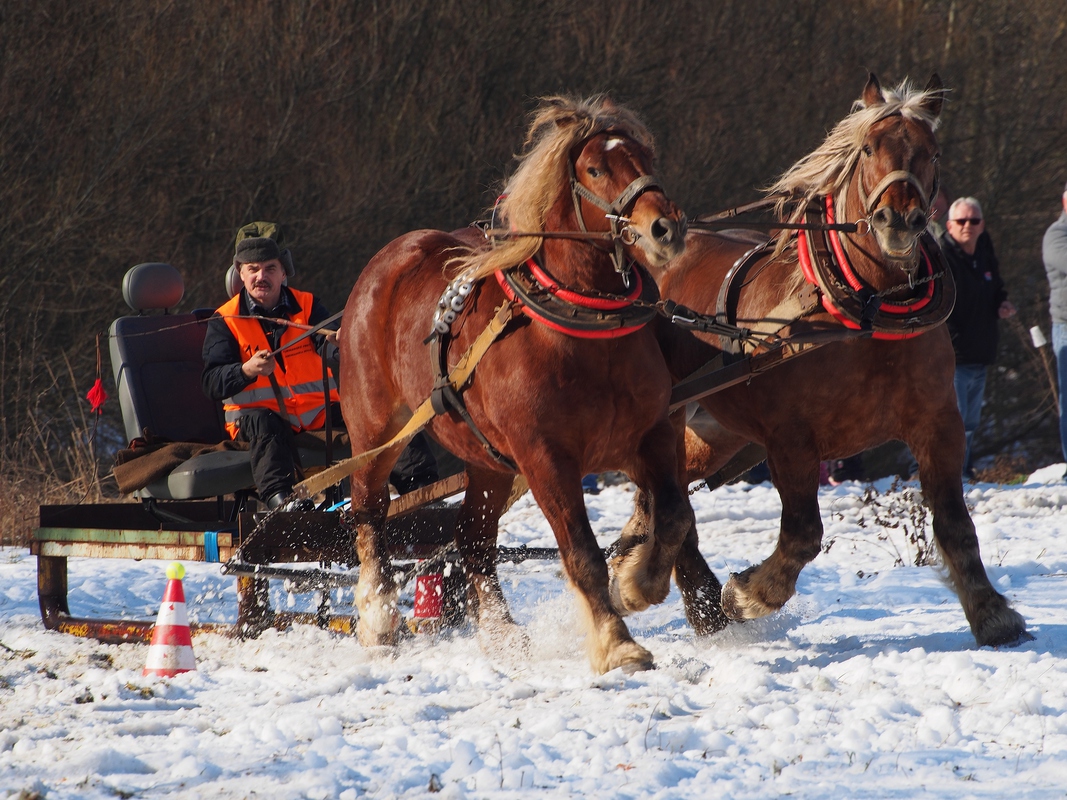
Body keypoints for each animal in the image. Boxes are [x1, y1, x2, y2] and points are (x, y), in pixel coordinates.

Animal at [337, 96, 691, 674]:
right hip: (375, 431)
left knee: (474, 537)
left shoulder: (650, 435)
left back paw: (501, 632)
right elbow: (581, 552)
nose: (665, 228)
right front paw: (616, 641)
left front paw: (636, 586)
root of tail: (388, 260)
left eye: (646, 157)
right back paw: (378, 618)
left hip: (487, 458)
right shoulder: (545, 457)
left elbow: (676, 517)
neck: (584, 330)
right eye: (595, 169)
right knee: (369, 513)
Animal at [638, 74, 1030, 648]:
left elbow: (956, 523)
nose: (898, 218)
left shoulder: (938, 422)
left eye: (932, 151)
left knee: (665, 499)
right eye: (868, 148)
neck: (865, 309)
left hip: (715, 432)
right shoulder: (791, 439)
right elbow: (803, 534)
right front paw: (747, 595)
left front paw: (991, 614)